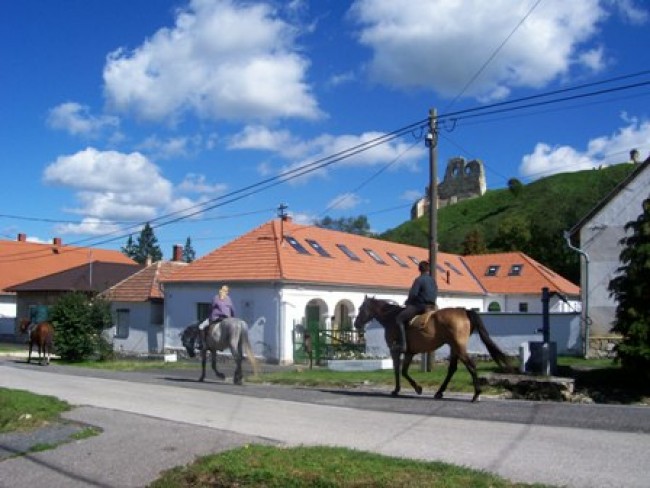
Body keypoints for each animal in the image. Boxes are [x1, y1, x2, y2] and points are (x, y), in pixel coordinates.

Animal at [354, 296, 512, 402]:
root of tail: (463, 311)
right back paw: (440, 392)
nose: (356, 324)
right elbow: (404, 371)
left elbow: (398, 371)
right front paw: (417, 388)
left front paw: (398, 390)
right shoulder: (409, 353)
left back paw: (476, 394)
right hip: (454, 348)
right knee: (452, 369)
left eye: (361, 308)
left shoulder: (395, 351)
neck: (391, 317)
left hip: (459, 347)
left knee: (471, 365)